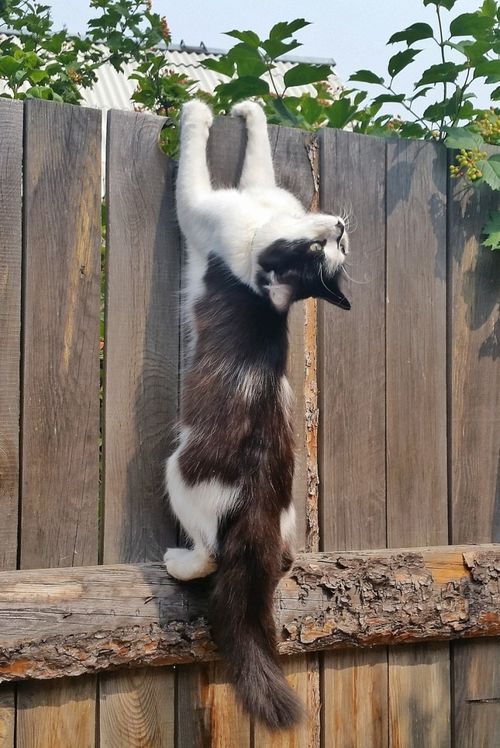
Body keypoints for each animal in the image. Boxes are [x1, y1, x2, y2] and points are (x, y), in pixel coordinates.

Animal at [165, 99, 352, 732]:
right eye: (322, 253)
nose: (339, 227)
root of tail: (258, 512)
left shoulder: (200, 207)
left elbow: (193, 163)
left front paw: (197, 106)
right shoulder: (258, 189)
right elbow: (260, 155)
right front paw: (248, 108)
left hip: (181, 474)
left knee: (209, 555)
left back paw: (177, 561)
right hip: (288, 517)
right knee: (284, 558)